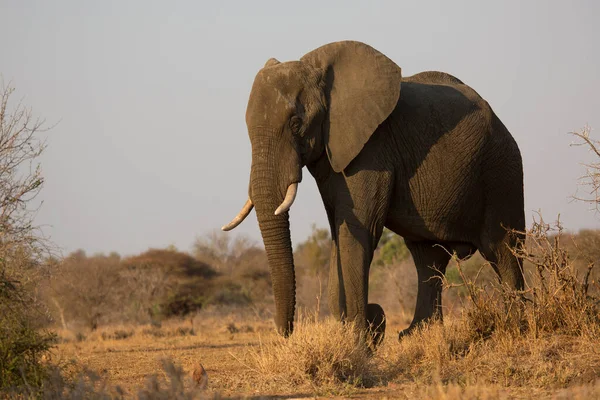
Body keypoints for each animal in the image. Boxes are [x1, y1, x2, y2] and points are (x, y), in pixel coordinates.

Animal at [221, 40, 524, 344]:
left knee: (503, 249)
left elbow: (358, 229)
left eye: (296, 123)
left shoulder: (373, 149)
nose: (286, 334)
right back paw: (416, 335)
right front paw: (357, 330)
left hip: (503, 171)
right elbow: (338, 231)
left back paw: (515, 324)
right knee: (427, 257)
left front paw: (359, 338)